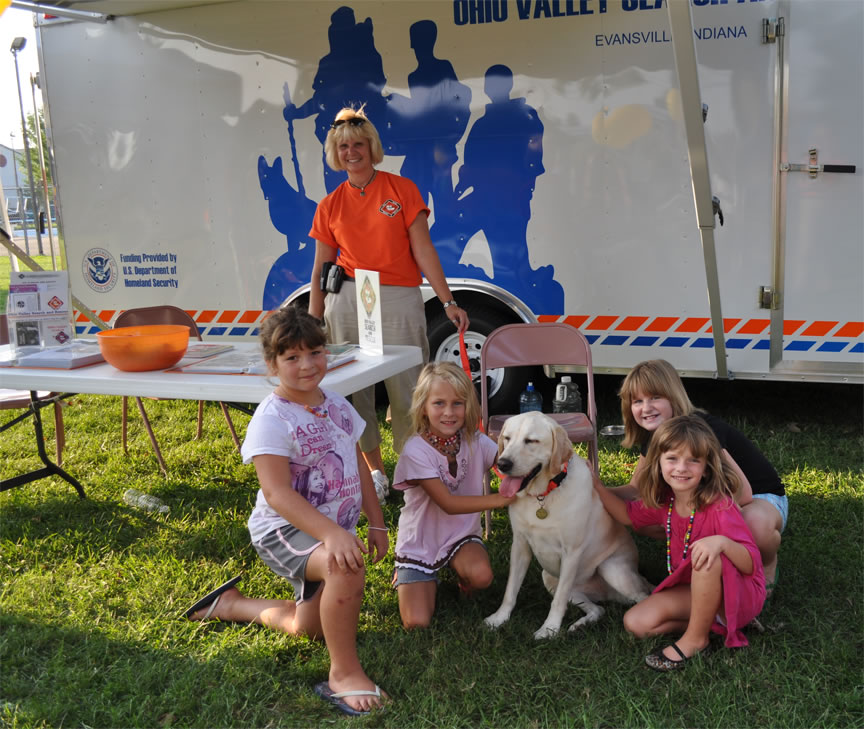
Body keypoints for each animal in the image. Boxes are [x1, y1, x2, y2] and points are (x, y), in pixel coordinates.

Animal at [486, 412, 648, 640]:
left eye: (531, 441)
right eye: (507, 438)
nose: (502, 463)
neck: (544, 495)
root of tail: (608, 595)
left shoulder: (571, 551)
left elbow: (558, 602)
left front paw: (549, 629)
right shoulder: (519, 546)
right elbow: (510, 590)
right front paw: (499, 618)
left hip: (611, 569)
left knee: (644, 597)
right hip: (550, 577)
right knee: (598, 608)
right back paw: (580, 624)